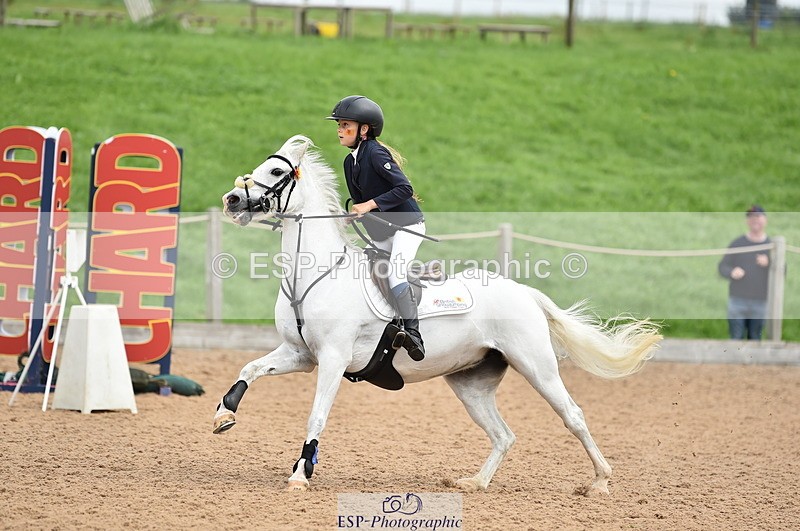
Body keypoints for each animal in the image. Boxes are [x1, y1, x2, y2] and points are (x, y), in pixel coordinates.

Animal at [214, 135, 661, 493]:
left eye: (275, 170)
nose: (231, 200)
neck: (317, 272)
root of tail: (524, 293)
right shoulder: (300, 354)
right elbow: (250, 369)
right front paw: (223, 414)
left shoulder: (333, 359)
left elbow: (316, 416)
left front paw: (300, 474)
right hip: (470, 383)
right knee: (504, 435)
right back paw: (476, 482)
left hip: (537, 366)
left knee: (573, 416)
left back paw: (600, 481)